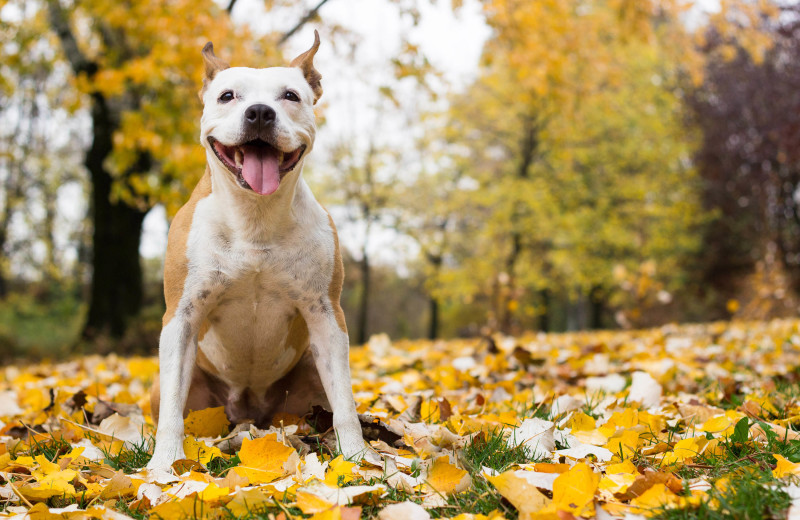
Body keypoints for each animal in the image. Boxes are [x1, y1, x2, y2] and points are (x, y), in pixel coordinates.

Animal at [146, 33, 366, 472]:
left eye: (290, 96)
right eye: (227, 95)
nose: (260, 112)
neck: (255, 217)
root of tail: (249, 414)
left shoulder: (325, 314)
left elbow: (347, 403)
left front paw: (359, 459)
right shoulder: (182, 315)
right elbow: (172, 410)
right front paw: (165, 465)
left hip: (308, 379)